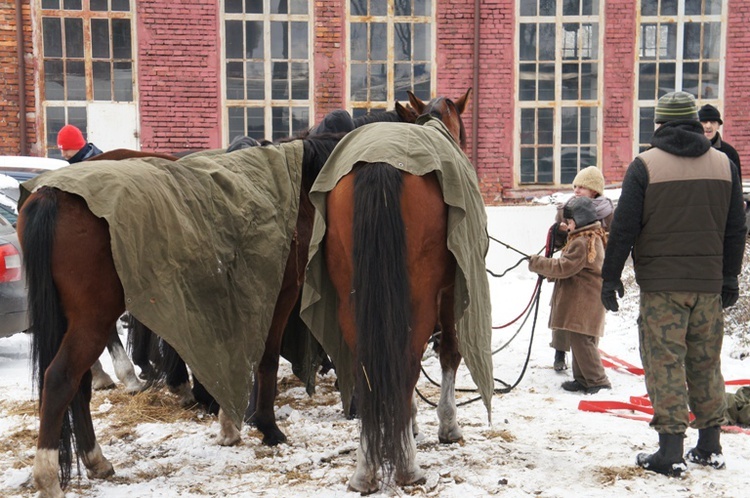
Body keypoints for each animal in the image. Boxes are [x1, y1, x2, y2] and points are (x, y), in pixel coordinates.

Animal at [302, 87, 496, 492]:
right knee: (406, 363)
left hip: (352, 298)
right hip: (418, 297)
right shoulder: (450, 292)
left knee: (368, 367)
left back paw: (365, 468)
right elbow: (450, 353)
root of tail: (381, 163)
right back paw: (407, 466)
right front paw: (446, 424)